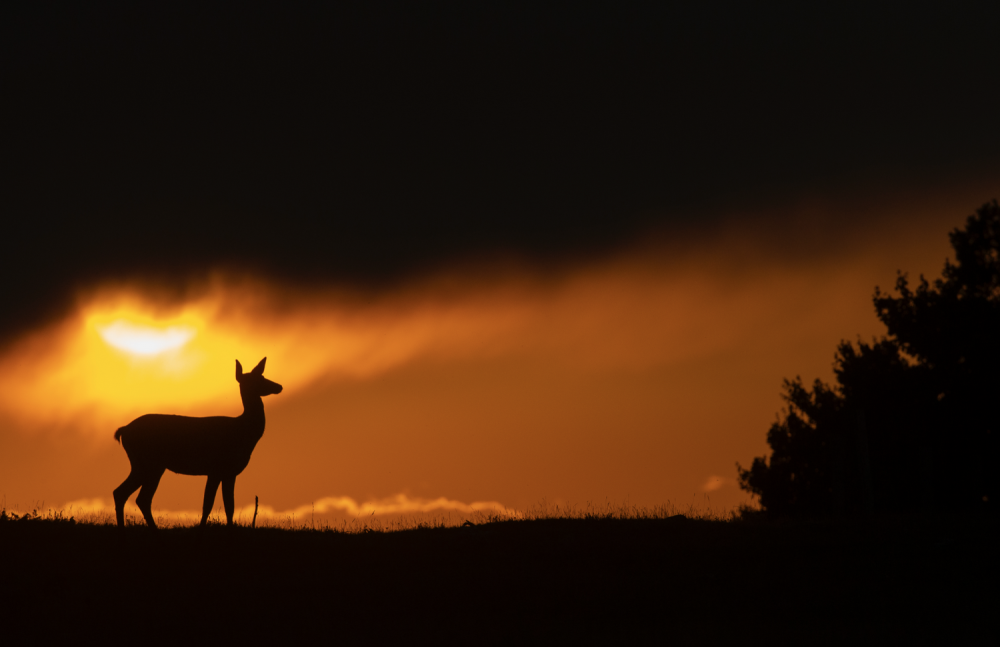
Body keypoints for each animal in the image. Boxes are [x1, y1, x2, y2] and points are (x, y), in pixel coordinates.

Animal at [112, 356, 282, 528]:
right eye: (258, 378)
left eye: (262, 376)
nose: (279, 386)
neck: (244, 432)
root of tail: (123, 430)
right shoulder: (216, 468)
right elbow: (208, 503)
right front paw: (201, 527)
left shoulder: (229, 472)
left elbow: (229, 505)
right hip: (146, 463)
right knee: (132, 495)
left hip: (151, 466)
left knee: (132, 496)